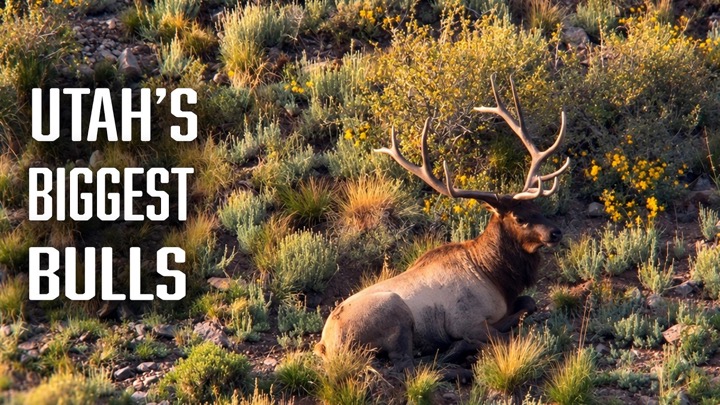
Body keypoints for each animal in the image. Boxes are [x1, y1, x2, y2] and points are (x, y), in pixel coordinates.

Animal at [315, 74, 571, 372]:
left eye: (537, 208)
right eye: (519, 218)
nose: (555, 233)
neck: (496, 276)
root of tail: (325, 345)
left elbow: (529, 302)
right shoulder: (466, 321)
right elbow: (502, 333)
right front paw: (465, 345)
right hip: (395, 313)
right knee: (406, 364)